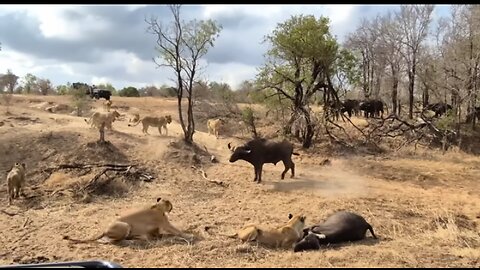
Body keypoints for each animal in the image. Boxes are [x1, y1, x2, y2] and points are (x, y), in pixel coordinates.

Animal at [62, 197, 192, 244]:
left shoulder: (156, 229)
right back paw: (133, 241)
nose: (172, 205)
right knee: (117, 241)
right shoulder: (166, 224)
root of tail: (105, 230)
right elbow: (178, 231)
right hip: (125, 225)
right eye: (168, 202)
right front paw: (189, 235)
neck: (157, 207)